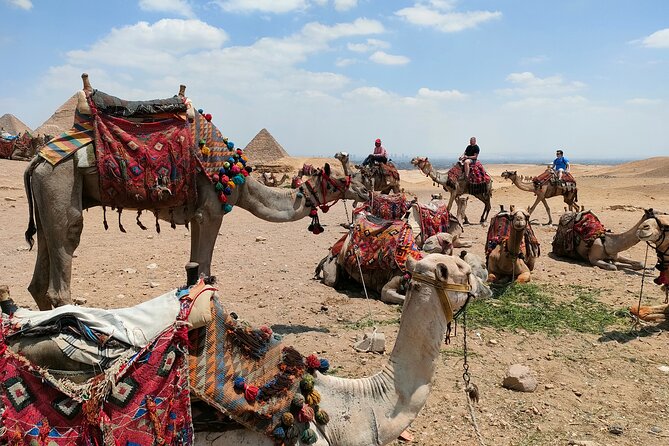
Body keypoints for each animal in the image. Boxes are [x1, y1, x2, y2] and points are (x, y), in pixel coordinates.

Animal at [23, 79, 369, 311]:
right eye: (340, 178)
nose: (366, 191)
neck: (239, 180)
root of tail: (36, 160)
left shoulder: (196, 214)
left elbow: (196, 269)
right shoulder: (212, 210)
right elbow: (204, 269)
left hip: (46, 199)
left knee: (40, 276)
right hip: (60, 182)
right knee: (64, 255)